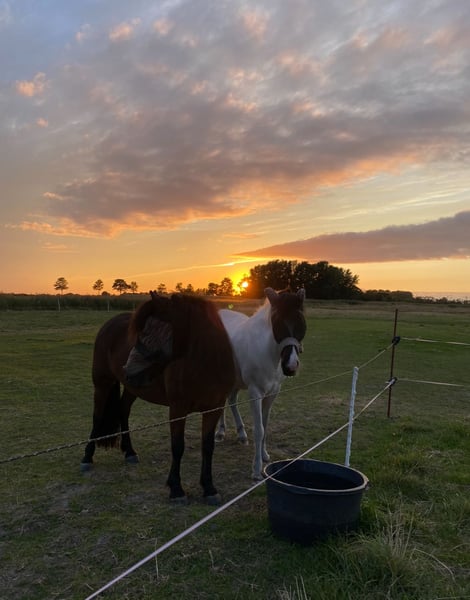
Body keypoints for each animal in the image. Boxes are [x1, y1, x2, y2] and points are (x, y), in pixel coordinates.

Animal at [80, 291, 235, 505]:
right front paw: (176, 489)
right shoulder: (178, 409)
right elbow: (178, 447)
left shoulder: (214, 409)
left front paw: (209, 488)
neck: (205, 365)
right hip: (102, 384)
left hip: (133, 388)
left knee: (123, 411)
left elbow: (208, 447)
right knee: (97, 417)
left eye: (153, 332)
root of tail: (109, 324)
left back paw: (129, 452)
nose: (128, 370)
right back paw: (87, 458)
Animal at [215, 287, 306, 480]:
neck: (268, 352)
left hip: (235, 381)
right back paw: (220, 433)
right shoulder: (255, 392)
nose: (290, 366)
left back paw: (241, 434)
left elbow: (265, 425)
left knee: (231, 401)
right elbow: (259, 430)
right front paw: (256, 469)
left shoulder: (272, 393)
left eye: (301, 322)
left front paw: (264, 456)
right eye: (277, 323)